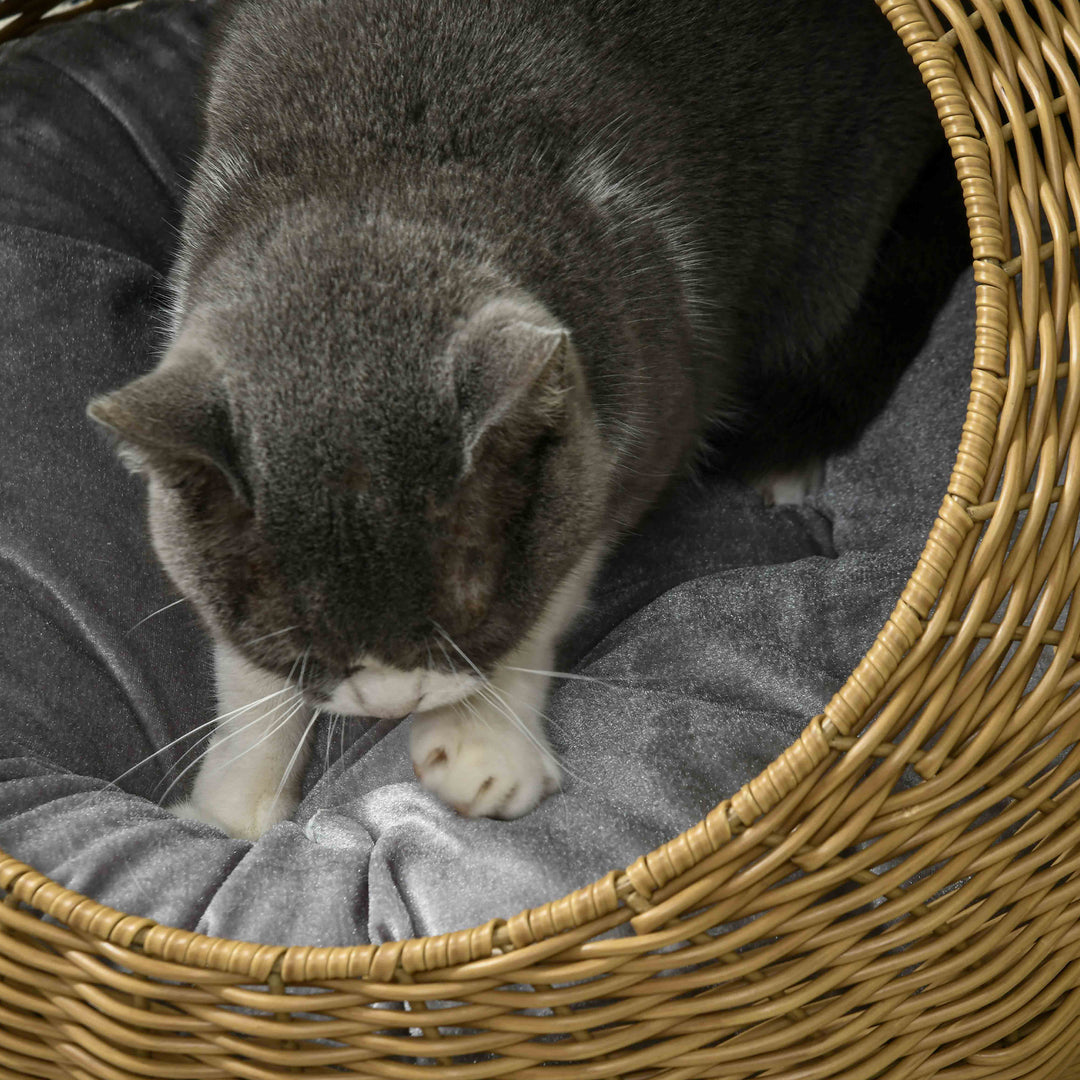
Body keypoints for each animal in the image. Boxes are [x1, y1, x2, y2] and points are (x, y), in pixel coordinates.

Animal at [86, 0, 963, 838]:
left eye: (465, 615)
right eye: (302, 642)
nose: (394, 700)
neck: (378, 178)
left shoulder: (649, 395)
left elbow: (559, 568)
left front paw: (484, 743)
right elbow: (242, 666)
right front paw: (233, 806)